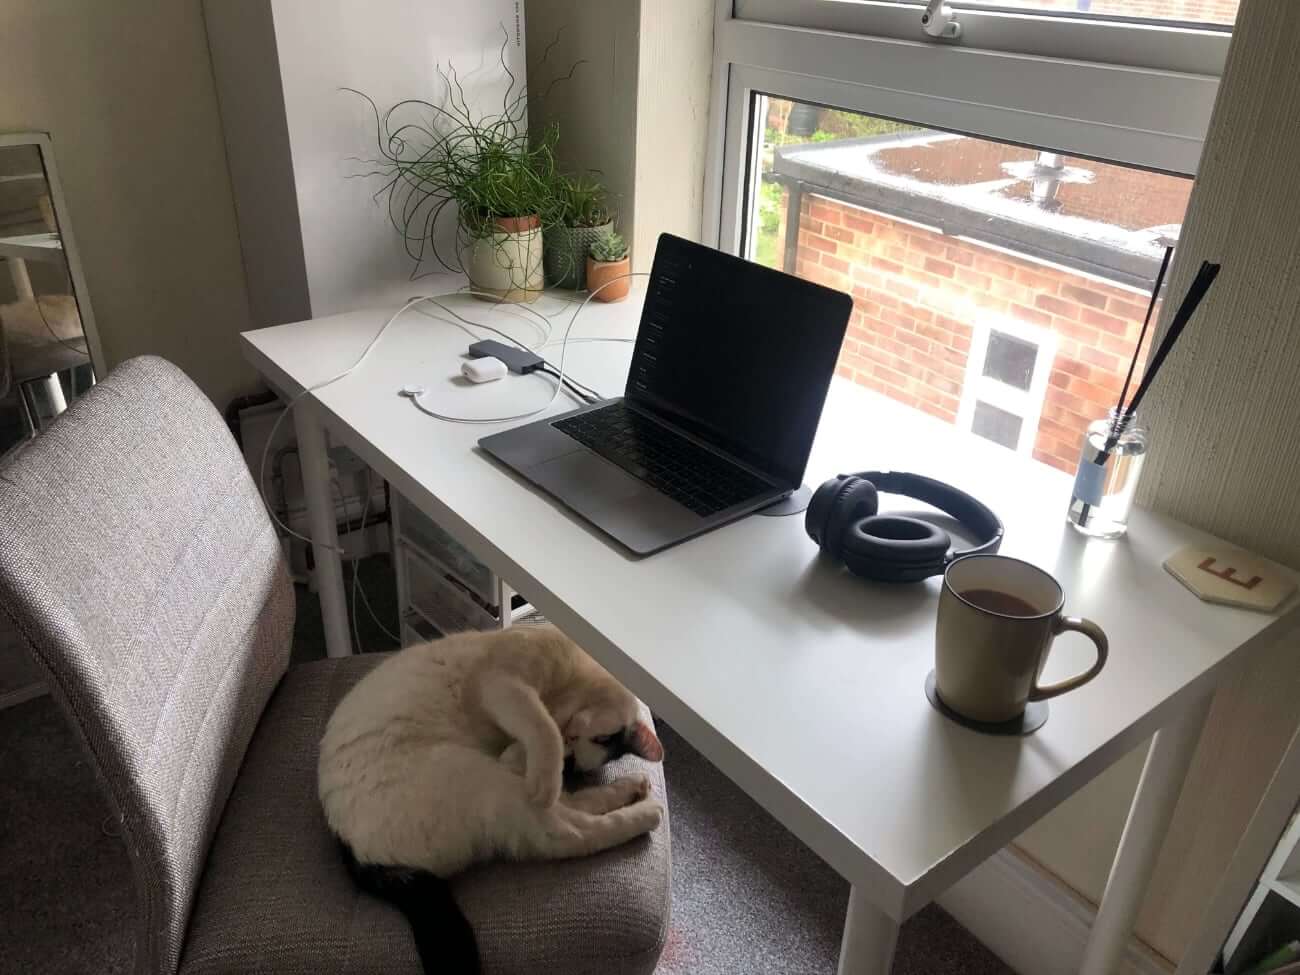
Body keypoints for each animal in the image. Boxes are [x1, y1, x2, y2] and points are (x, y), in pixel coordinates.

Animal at [313, 626, 660, 972]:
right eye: (601, 739)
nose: (569, 753)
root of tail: (356, 853)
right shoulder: (503, 686)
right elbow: (542, 727)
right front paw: (543, 764)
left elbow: (535, 739)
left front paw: (533, 763)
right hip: (483, 778)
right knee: (574, 825)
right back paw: (642, 806)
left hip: (489, 783)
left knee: (575, 826)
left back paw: (637, 794)